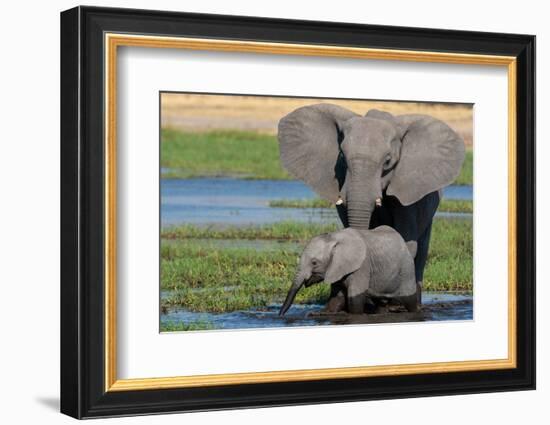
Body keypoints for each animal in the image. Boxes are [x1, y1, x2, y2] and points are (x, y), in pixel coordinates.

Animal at [280, 225, 418, 314]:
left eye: (314, 263)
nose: (280, 315)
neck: (333, 237)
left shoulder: (362, 266)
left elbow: (355, 300)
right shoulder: (336, 267)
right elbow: (337, 298)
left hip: (407, 268)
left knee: (410, 300)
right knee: (381, 303)